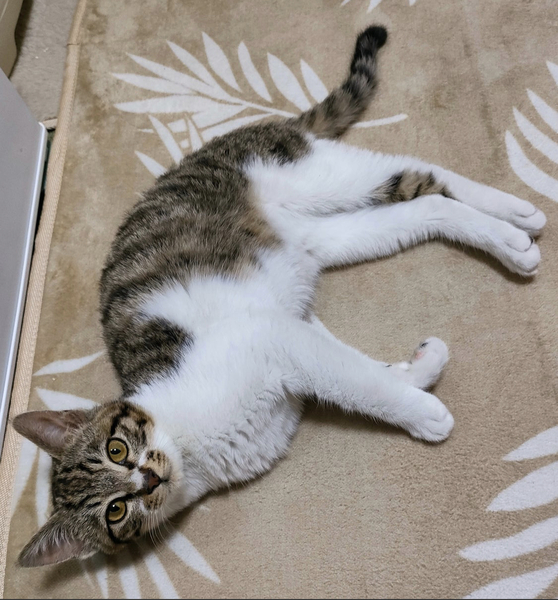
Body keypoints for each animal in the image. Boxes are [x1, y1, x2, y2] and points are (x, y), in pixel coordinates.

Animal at [13, 25, 546, 568]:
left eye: (117, 449)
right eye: (116, 511)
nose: (149, 479)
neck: (191, 447)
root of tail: (225, 139)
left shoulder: (270, 338)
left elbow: (356, 382)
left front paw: (421, 413)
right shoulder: (293, 332)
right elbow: (355, 367)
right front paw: (419, 369)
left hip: (313, 175)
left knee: (419, 172)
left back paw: (517, 216)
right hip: (328, 236)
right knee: (423, 206)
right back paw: (508, 235)